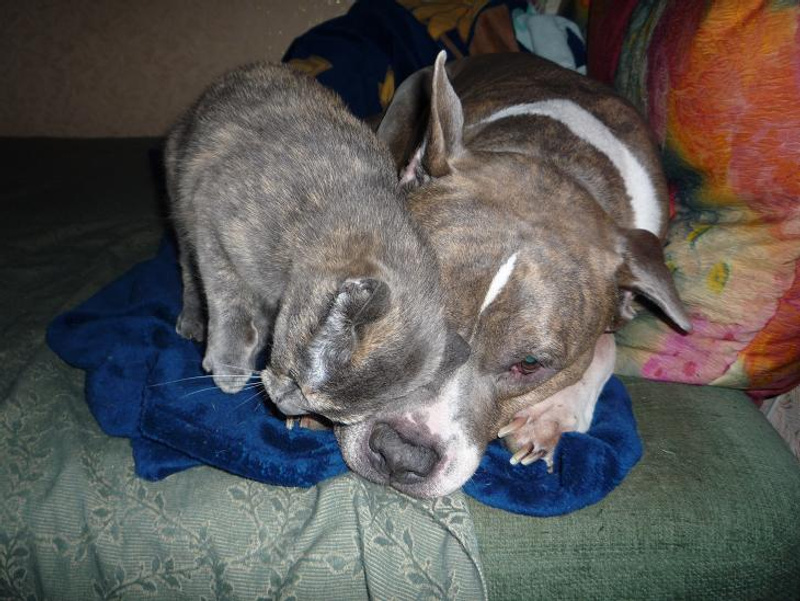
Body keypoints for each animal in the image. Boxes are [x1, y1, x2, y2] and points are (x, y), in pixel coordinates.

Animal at [164, 62, 468, 424]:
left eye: (326, 415)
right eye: (298, 378)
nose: (285, 407)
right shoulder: (213, 223)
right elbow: (229, 298)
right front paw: (230, 361)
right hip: (180, 202)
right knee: (188, 269)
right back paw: (194, 319)